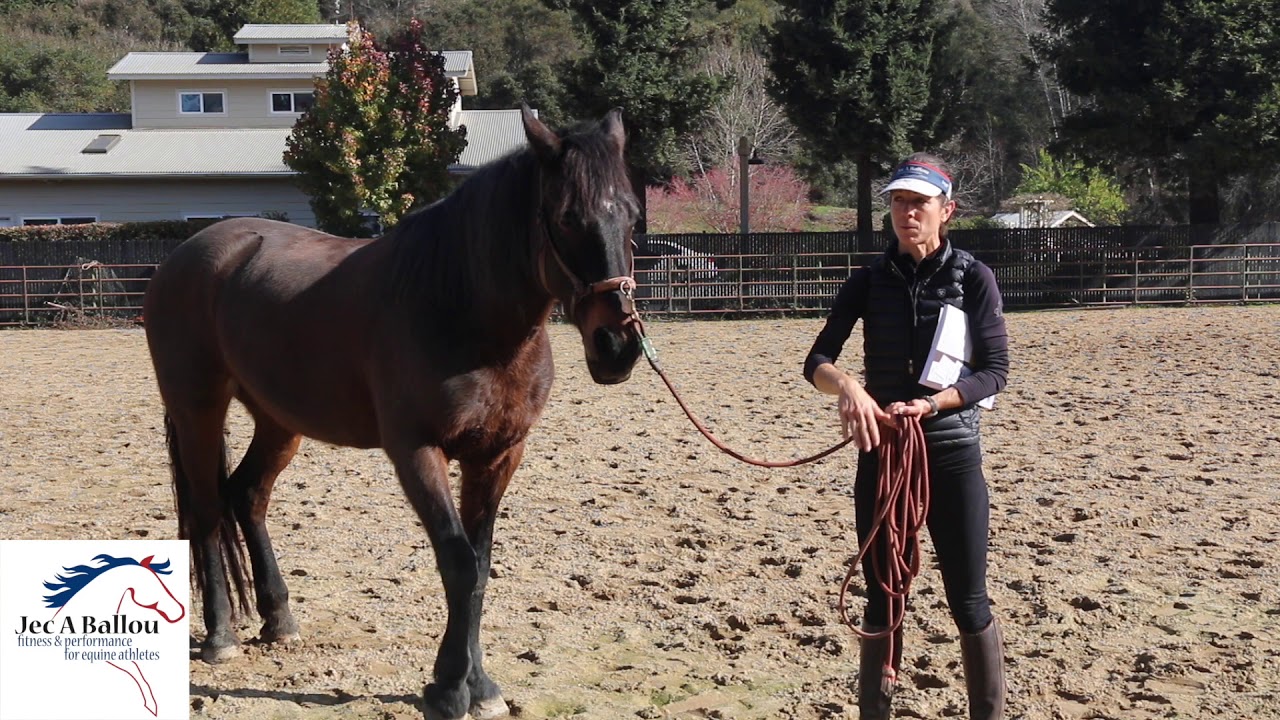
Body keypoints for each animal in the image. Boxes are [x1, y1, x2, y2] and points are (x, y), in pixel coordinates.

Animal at [142, 106, 643, 720]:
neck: (460, 309)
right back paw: (220, 636)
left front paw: (481, 686)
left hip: (279, 419)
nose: (617, 346)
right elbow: (457, 563)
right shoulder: (416, 452)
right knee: (209, 511)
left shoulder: (498, 454)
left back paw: (279, 619)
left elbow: (479, 565)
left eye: (632, 214)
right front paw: (449, 689)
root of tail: (189, 254)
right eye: (568, 217)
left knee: (248, 496)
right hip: (197, 408)